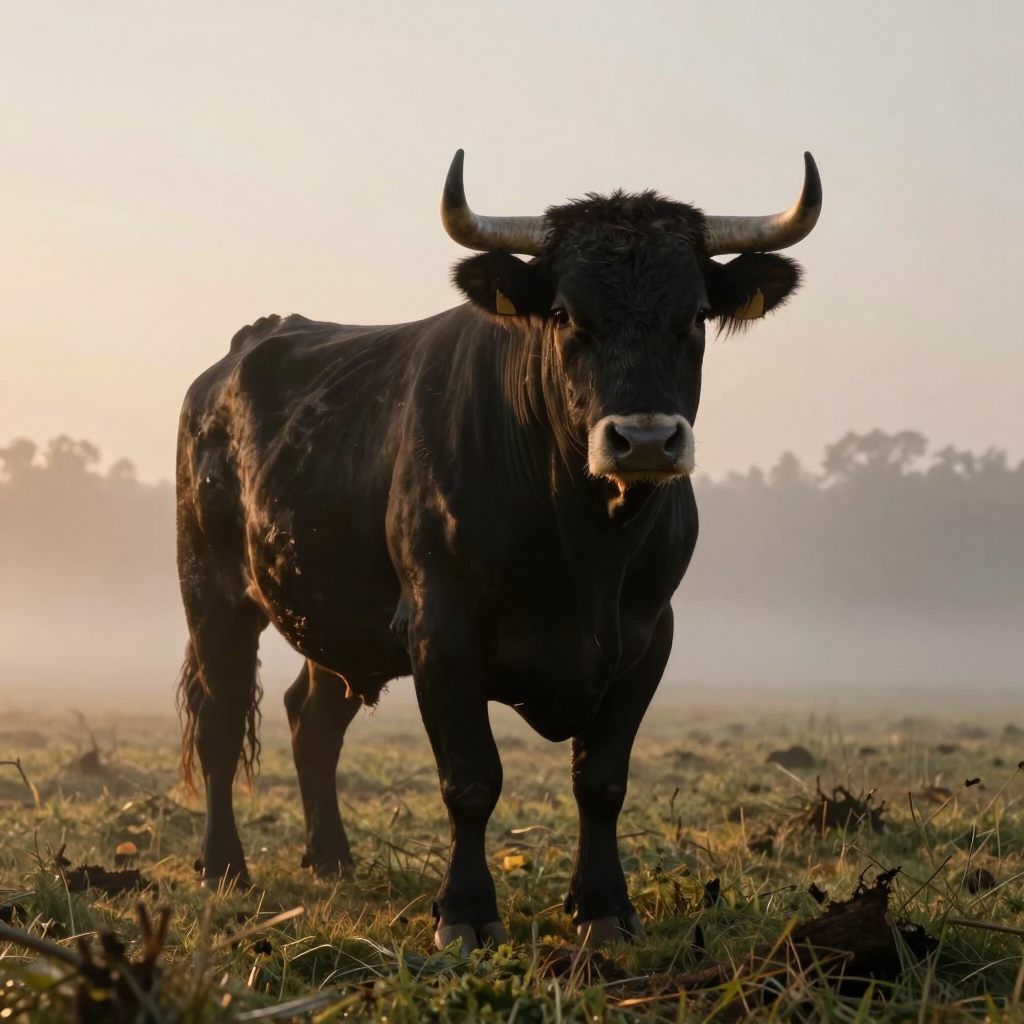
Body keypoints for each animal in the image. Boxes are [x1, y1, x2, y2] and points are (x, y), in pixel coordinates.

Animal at [176, 149, 821, 950]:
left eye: (696, 315)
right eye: (567, 314)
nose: (643, 439)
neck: (584, 546)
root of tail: (234, 359)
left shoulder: (648, 637)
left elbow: (602, 780)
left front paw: (603, 906)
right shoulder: (439, 630)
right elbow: (471, 779)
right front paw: (465, 912)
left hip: (338, 622)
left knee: (310, 720)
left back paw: (331, 861)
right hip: (213, 595)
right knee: (221, 720)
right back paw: (223, 868)